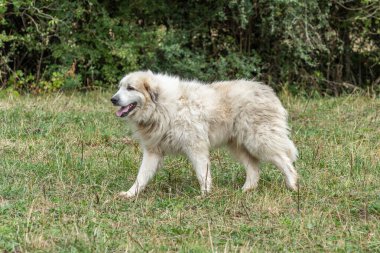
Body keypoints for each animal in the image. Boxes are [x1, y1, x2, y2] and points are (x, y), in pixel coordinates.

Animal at [111, 70, 298, 198]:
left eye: (130, 88)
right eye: (120, 87)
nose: (113, 99)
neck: (161, 105)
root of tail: (268, 91)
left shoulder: (195, 147)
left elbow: (202, 173)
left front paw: (205, 194)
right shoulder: (153, 152)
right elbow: (141, 176)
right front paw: (130, 194)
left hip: (259, 141)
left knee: (285, 161)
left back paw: (293, 186)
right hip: (239, 147)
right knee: (253, 168)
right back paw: (245, 190)